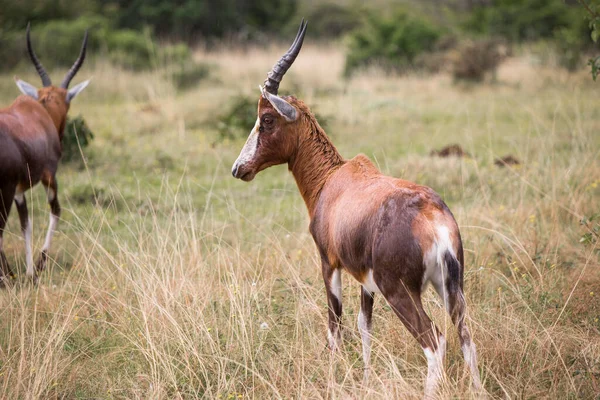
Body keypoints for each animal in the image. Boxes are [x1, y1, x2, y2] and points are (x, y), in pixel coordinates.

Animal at [0, 24, 90, 284]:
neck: (38, 111)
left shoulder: (19, 190)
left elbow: (25, 224)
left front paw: (29, 270)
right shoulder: (49, 177)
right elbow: (55, 211)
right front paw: (37, 267)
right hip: (5, 190)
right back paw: (6, 277)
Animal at [232, 21, 486, 396]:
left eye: (266, 119)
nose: (239, 169)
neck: (334, 180)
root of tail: (433, 218)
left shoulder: (329, 263)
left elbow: (335, 325)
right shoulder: (366, 280)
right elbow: (365, 325)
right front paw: (365, 380)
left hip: (401, 292)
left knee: (435, 341)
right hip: (451, 288)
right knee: (466, 338)